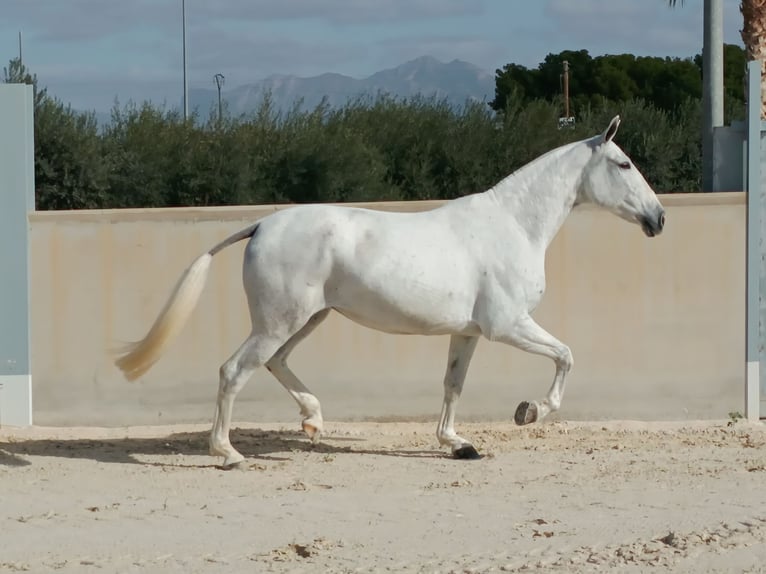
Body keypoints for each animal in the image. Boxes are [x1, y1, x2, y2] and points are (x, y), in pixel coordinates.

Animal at [114, 116, 664, 468]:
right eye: (623, 164)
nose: (658, 219)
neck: (512, 225)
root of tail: (262, 224)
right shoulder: (507, 325)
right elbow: (566, 355)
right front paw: (529, 412)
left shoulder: (469, 332)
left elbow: (453, 385)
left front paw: (457, 444)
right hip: (280, 320)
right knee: (234, 371)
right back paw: (227, 453)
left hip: (308, 318)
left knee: (274, 363)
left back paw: (313, 422)